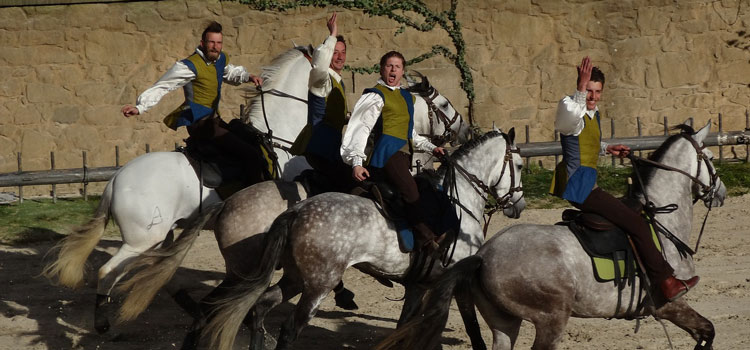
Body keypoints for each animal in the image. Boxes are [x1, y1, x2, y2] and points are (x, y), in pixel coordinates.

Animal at [39, 43, 470, 334]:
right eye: (446, 105)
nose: (462, 131)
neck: (286, 139)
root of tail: (116, 180)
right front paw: (344, 291)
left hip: (162, 236)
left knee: (161, 274)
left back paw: (196, 309)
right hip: (142, 238)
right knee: (108, 272)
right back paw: (104, 320)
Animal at [378, 121, 732, 350]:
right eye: (710, 157)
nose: (721, 193)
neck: (662, 220)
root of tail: (482, 256)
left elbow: (707, 332)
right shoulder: (668, 305)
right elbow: (708, 331)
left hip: (505, 323)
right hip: (550, 320)